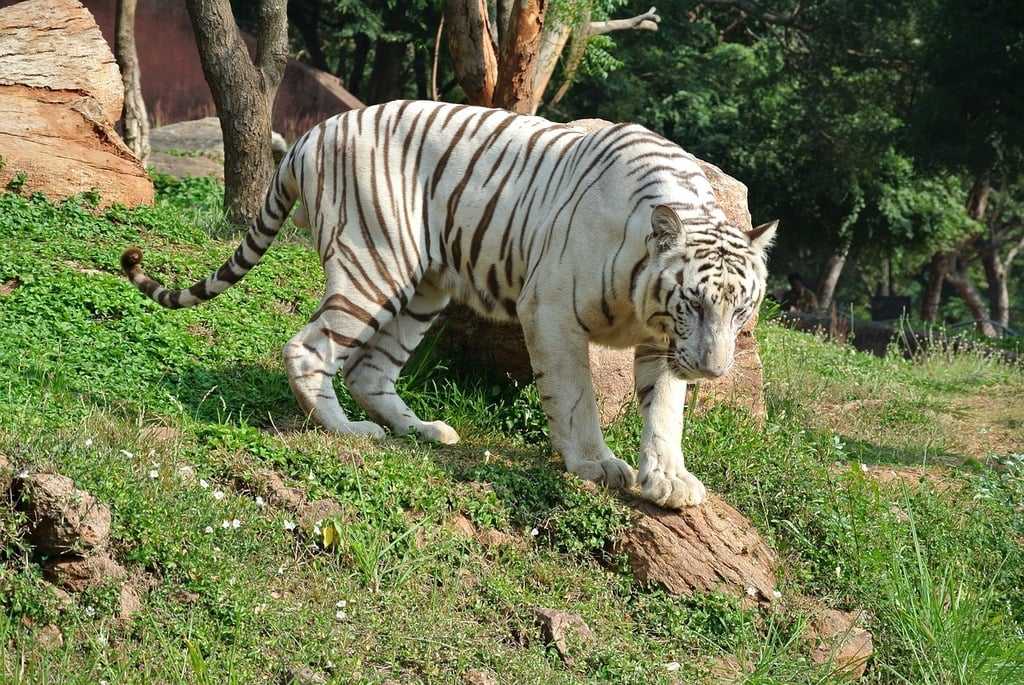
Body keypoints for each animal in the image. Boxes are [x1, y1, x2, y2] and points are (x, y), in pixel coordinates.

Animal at [121, 101, 774, 507]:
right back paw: (348, 430)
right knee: (311, 349)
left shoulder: (662, 342)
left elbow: (665, 411)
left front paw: (669, 480)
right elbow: (577, 397)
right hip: (376, 261)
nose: (715, 370)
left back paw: (423, 430)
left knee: (369, 368)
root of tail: (309, 134)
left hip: (425, 287)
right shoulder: (552, 311)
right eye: (695, 303)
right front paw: (594, 463)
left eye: (741, 310)